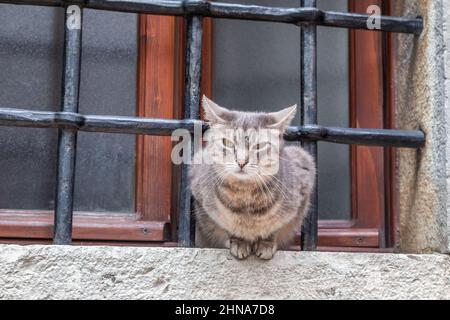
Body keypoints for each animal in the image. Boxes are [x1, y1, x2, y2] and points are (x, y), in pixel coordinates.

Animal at [188, 95, 314, 260]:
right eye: (227, 142)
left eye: (259, 146)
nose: (242, 161)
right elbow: (227, 227)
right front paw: (239, 242)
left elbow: (275, 227)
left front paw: (266, 243)